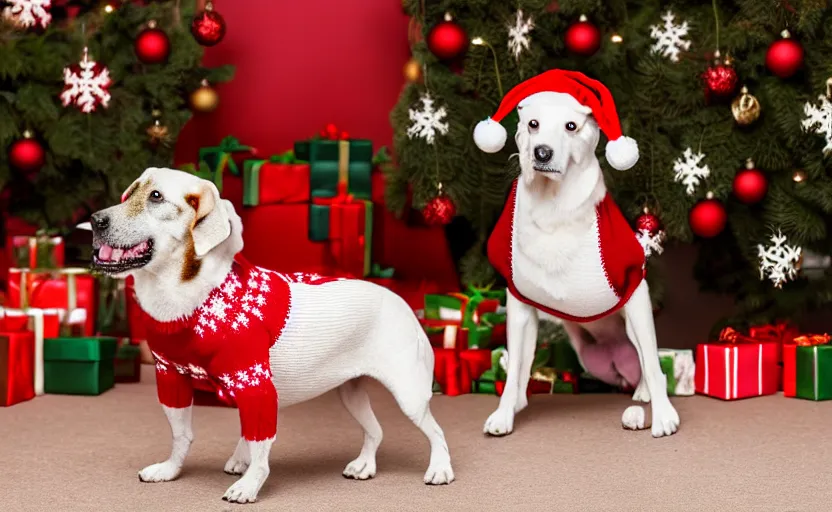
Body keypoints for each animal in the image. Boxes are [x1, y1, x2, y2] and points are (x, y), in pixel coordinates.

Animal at [89, 167, 456, 500]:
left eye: (156, 196)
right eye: (129, 194)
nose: (94, 220)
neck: (186, 296)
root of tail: (401, 301)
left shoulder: (256, 386)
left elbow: (261, 447)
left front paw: (249, 485)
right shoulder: (171, 378)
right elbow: (181, 435)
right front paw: (170, 469)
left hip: (409, 394)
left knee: (437, 432)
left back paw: (440, 469)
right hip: (350, 393)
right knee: (375, 431)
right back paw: (364, 465)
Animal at [472, 71, 680, 440]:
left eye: (571, 126)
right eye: (534, 124)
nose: (542, 152)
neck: (553, 207)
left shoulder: (634, 289)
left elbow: (654, 365)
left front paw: (664, 416)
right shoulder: (519, 306)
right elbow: (514, 371)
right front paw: (504, 413)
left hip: (632, 322)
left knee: (648, 359)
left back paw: (643, 392)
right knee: (523, 365)